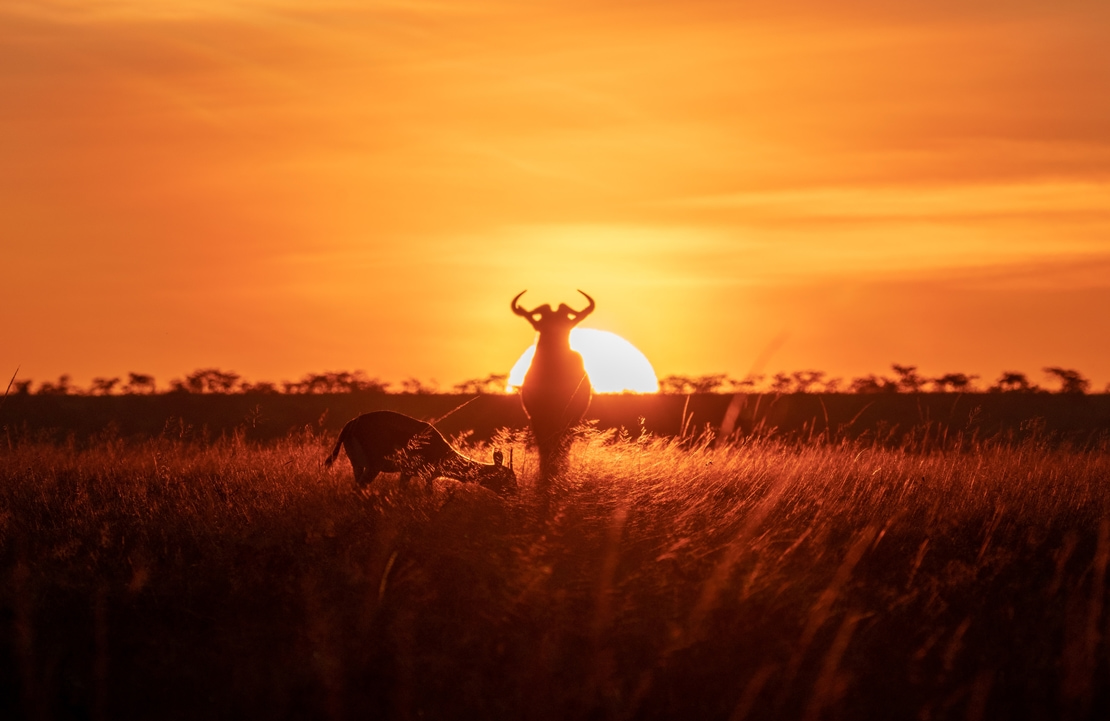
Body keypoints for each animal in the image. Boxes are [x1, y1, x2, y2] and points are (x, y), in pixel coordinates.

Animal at [324, 410, 517, 494]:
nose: (515, 495)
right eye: (509, 478)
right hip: (373, 467)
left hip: (357, 466)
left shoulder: (407, 474)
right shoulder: (426, 476)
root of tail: (351, 423)